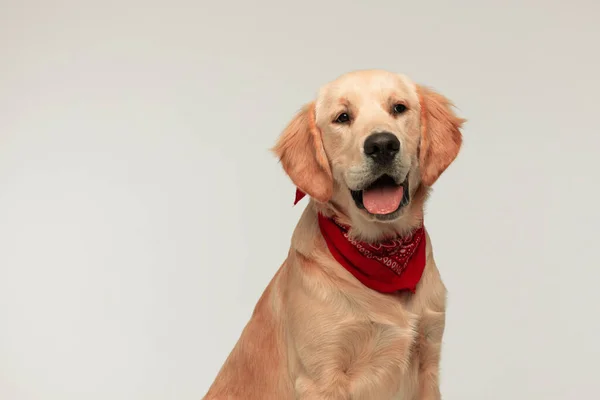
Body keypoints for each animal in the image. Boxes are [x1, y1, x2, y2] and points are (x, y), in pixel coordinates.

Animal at [205, 69, 464, 400]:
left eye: (399, 108)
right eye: (342, 117)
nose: (382, 145)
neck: (383, 250)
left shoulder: (427, 358)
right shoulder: (321, 376)